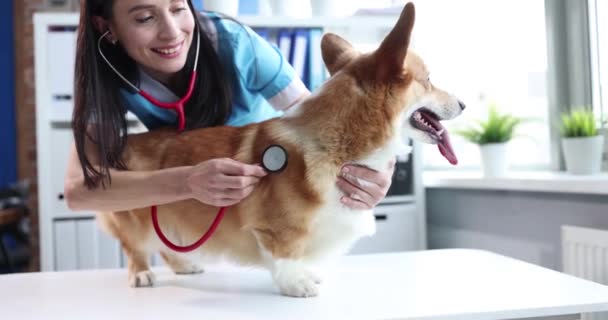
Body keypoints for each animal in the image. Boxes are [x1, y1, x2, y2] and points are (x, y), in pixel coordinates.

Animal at [97, 2, 464, 298]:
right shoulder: (274, 229)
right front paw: (297, 285)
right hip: (136, 215)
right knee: (136, 247)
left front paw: (308, 273)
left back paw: (184, 266)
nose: (463, 104)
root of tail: (124, 143)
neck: (337, 144)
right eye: (429, 80)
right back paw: (141, 274)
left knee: (165, 246)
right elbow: (285, 256)